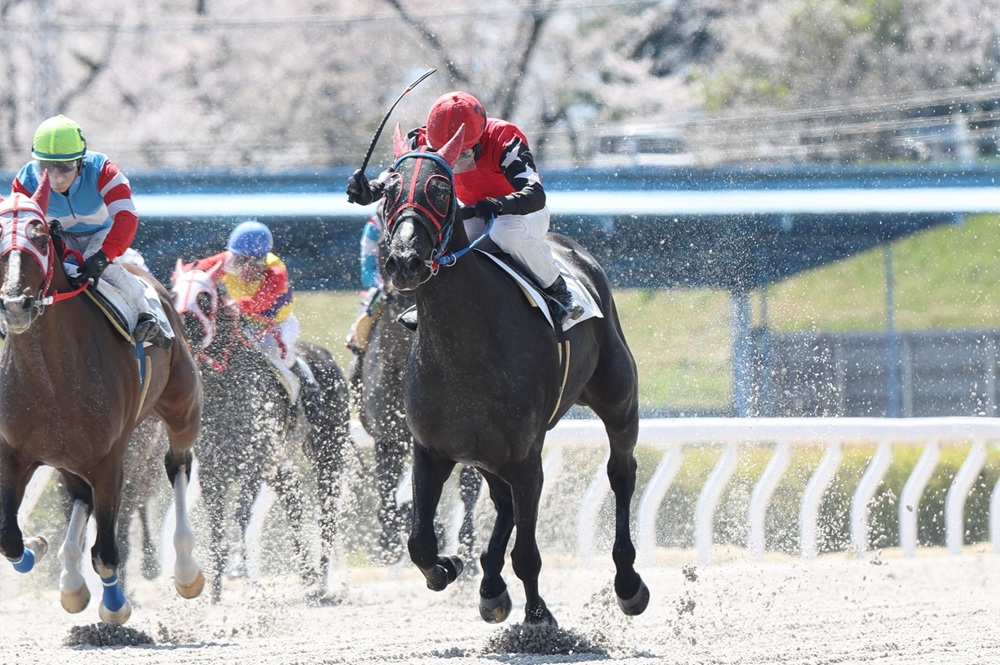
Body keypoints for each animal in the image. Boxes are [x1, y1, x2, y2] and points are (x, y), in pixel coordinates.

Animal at [0, 173, 204, 624]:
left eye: (40, 237)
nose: (15, 304)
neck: (51, 377)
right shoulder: (15, 454)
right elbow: (9, 538)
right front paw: (37, 547)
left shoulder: (110, 459)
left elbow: (108, 552)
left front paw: (115, 605)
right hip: (67, 455)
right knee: (79, 496)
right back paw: (70, 582)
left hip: (182, 408)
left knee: (178, 465)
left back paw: (186, 571)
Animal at [171, 260, 352, 602]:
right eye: (173, 294)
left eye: (204, 297)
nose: (184, 326)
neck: (224, 392)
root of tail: (324, 355)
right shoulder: (213, 471)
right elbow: (217, 528)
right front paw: (215, 594)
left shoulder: (254, 462)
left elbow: (242, 513)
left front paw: (240, 570)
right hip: (280, 464)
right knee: (294, 501)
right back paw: (307, 574)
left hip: (328, 453)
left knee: (327, 514)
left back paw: (321, 580)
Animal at [379, 124, 650, 626]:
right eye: (387, 189)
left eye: (440, 188)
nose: (405, 260)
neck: (464, 349)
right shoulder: (431, 449)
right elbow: (420, 542)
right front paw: (450, 566)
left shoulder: (527, 457)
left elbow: (527, 553)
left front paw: (539, 616)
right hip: (486, 453)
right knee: (501, 503)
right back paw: (489, 583)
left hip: (619, 401)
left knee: (621, 472)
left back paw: (627, 583)